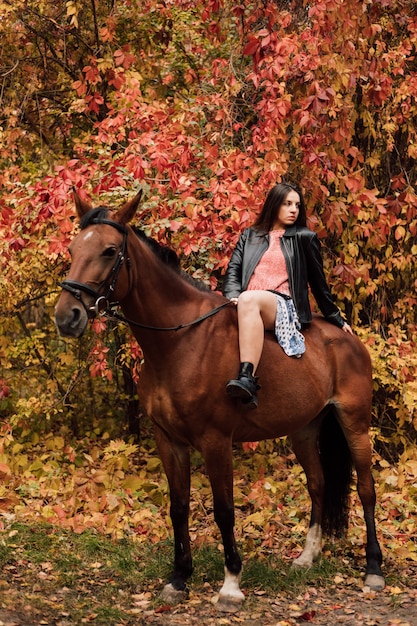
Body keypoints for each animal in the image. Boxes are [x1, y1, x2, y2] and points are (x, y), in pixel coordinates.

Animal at [54, 194, 384, 608]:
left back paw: (373, 569)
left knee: (366, 489)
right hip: (305, 430)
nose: (67, 317)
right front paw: (178, 578)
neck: (179, 342)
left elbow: (224, 510)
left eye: (110, 251)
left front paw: (230, 584)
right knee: (318, 483)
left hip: (355, 424)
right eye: (72, 249)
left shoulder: (215, 441)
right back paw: (308, 556)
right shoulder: (169, 441)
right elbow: (178, 506)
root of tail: (348, 338)